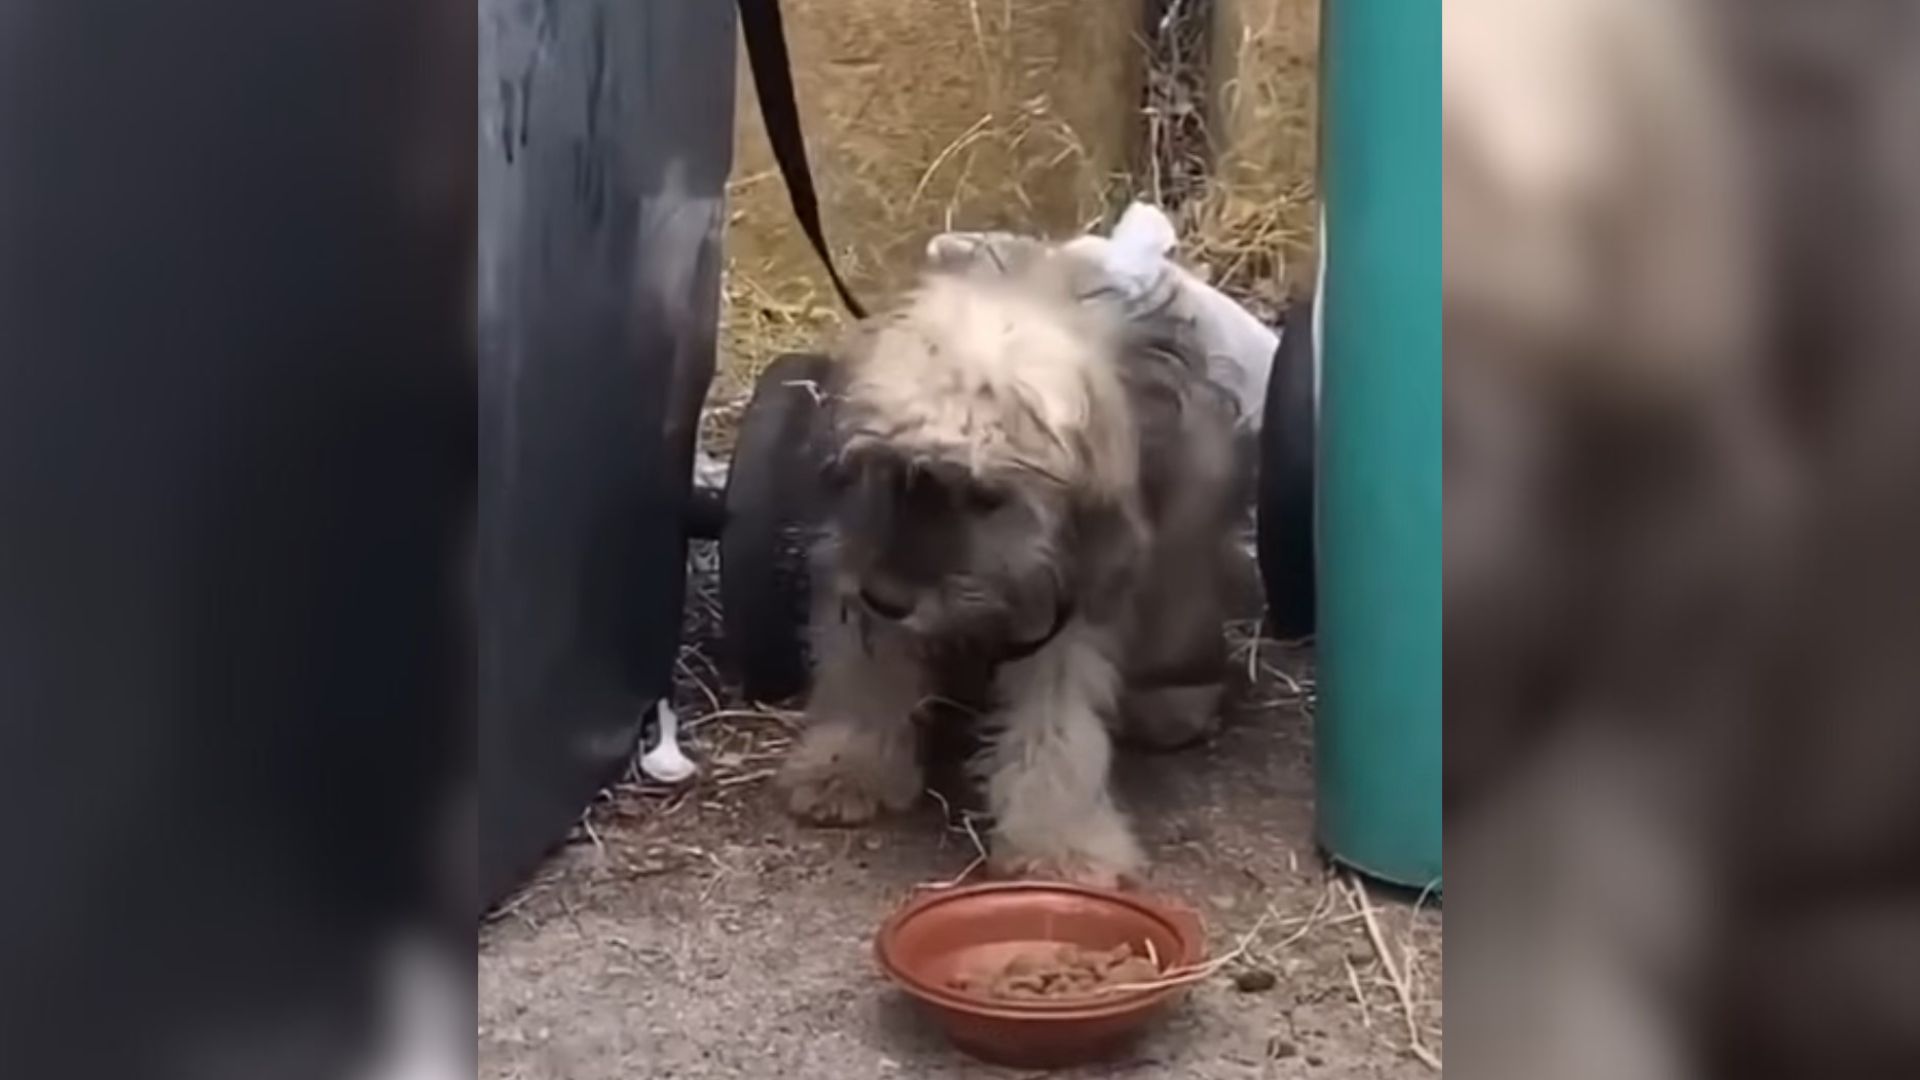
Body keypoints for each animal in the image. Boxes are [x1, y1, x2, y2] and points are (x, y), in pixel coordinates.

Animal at [775, 237, 1244, 883]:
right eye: (894, 468)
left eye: (985, 495)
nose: (887, 598)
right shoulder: (857, 553)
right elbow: (866, 668)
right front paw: (848, 762)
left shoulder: (1072, 606)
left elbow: (1058, 726)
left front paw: (1059, 842)